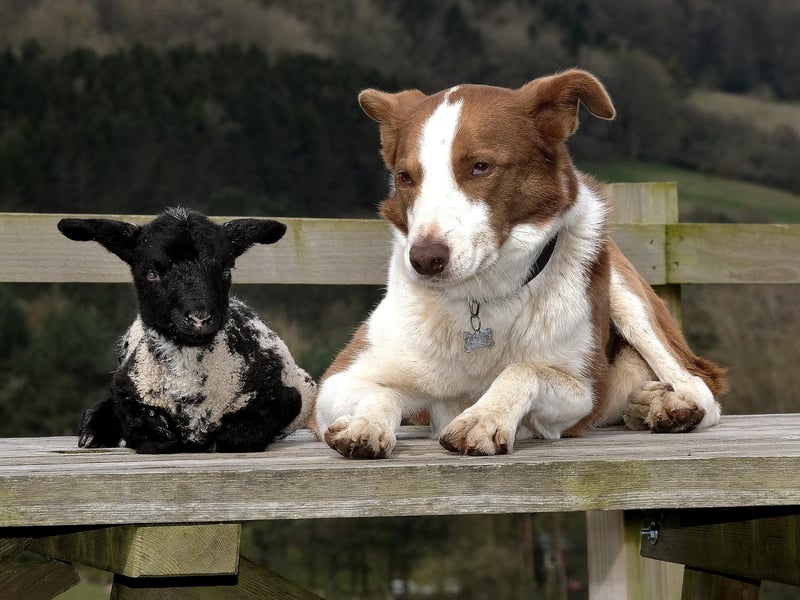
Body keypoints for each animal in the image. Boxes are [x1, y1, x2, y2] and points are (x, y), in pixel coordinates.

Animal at [57, 207, 316, 453]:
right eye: (150, 273)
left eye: (226, 270)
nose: (199, 317)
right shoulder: (126, 391)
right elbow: (152, 436)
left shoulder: (286, 397)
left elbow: (236, 437)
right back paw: (91, 431)